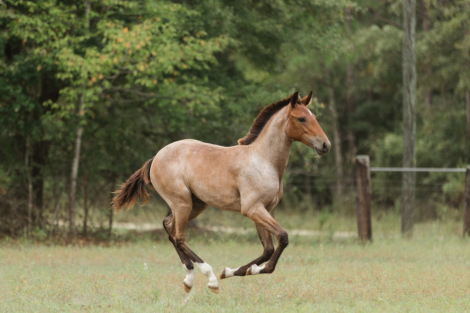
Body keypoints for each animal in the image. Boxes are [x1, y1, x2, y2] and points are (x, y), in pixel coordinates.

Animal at [111, 91, 330, 292]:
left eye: (314, 116)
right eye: (301, 118)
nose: (325, 145)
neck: (263, 160)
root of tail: (155, 157)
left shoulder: (264, 210)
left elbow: (268, 249)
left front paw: (235, 271)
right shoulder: (252, 209)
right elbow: (282, 238)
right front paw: (240, 271)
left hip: (196, 205)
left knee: (169, 227)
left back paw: (189, 278)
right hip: (182, 203)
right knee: (179, 236)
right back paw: (210, 278)